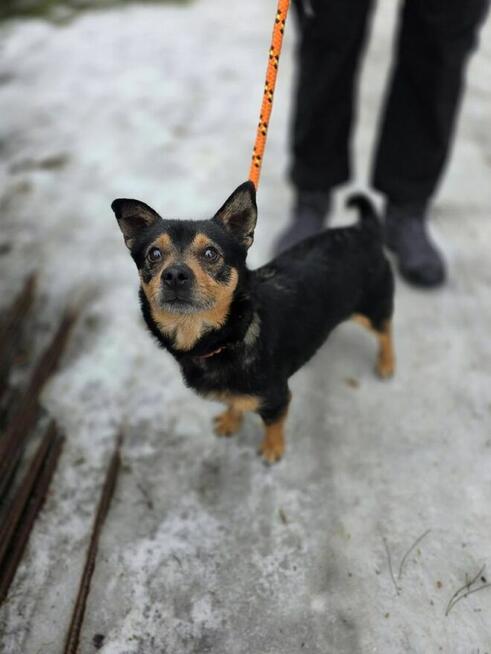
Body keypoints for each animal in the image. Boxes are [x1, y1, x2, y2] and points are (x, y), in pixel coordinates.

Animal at [112, 182, 395, 463]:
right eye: (154, 254)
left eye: (211, 253)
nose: (174, 275)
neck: (227, 338)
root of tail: (362, 230)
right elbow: (234, 402)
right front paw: (231, 420)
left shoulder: (277, 398)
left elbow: (273, 425)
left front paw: (272, 449)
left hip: (372, 309)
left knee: (385, 330)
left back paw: (387, 363)